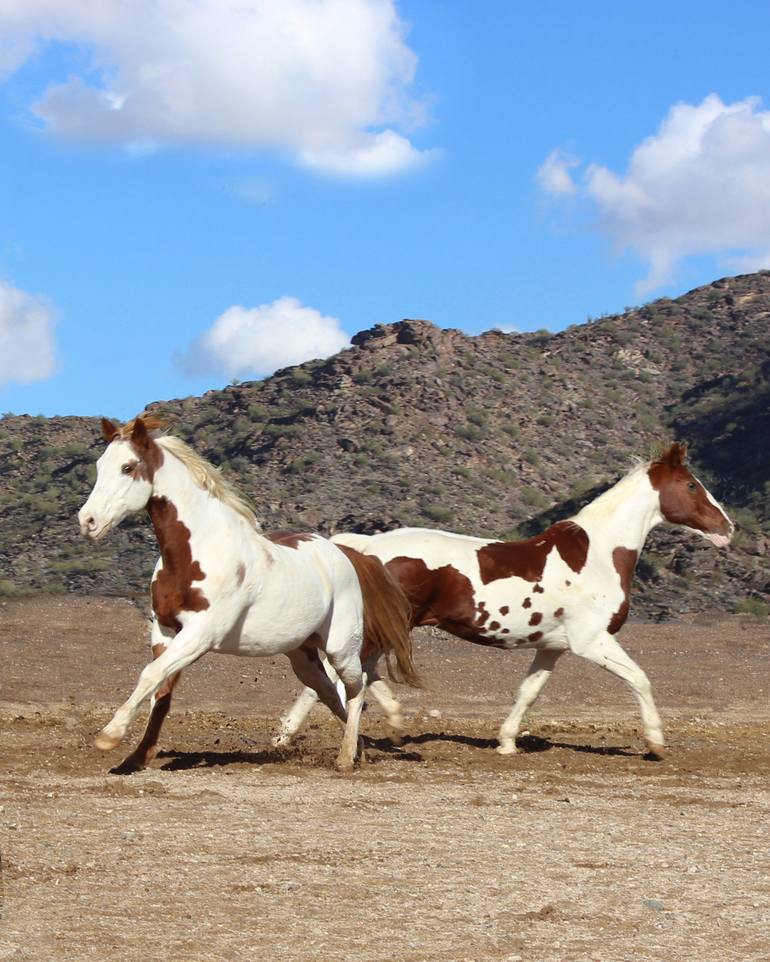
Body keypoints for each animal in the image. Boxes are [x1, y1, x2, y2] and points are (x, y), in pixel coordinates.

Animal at [78, 414, 420, 772]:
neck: (196, 553)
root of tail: (344, 553)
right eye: (100, 465)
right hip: (303, 655)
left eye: (128, 467)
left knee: (356, 688)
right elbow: (162, 690)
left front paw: (109, 736)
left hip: (341, 647)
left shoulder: (201, 634)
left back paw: (345, 757)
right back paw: (359, 749)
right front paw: (137, 755)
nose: (87, 521)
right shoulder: (165, 630)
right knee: (328, 692)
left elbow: (151, 675)